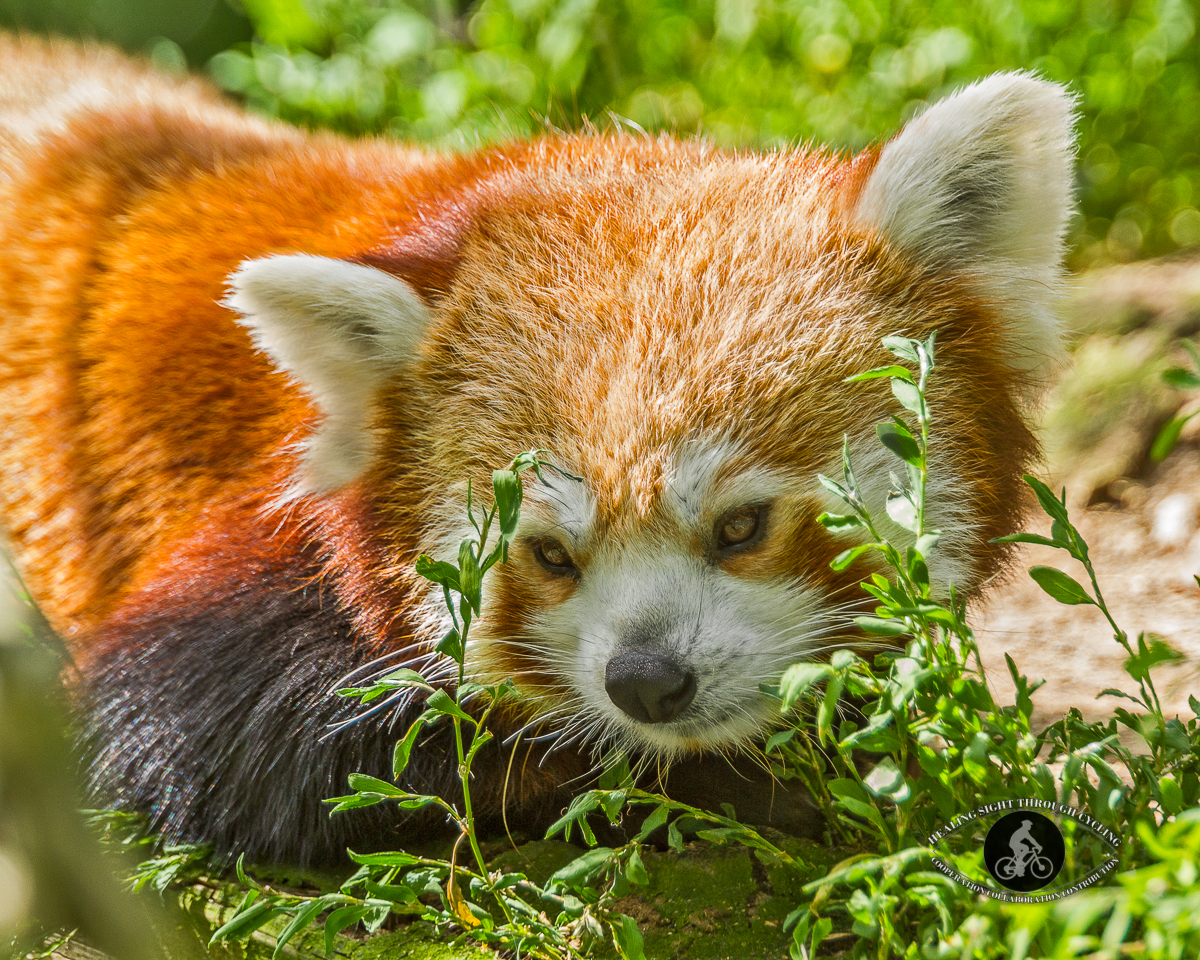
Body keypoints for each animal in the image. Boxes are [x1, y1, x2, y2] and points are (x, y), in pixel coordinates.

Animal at [0, 33, 1080, 864]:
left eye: (741, 526)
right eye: (551, 554)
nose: (647, 681)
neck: (436, 203)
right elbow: (190, 742)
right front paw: (734, 784)